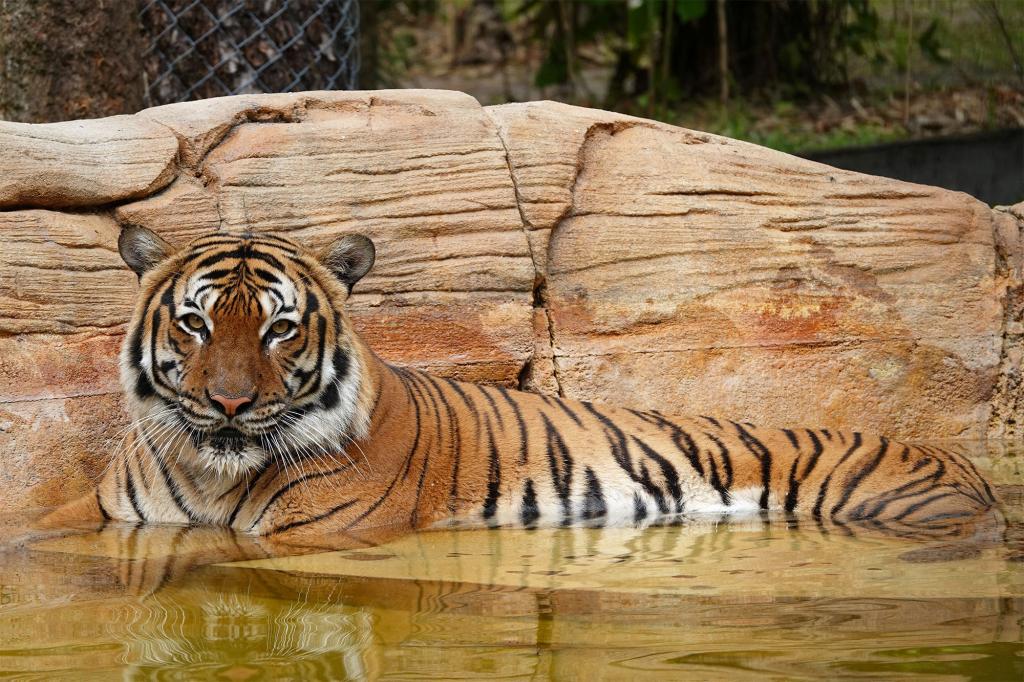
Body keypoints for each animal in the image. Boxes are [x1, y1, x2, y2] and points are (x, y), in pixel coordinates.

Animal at [44, 225, 995, 544]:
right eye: (196, 324)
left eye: (280, 328)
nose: (231, 403)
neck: (214, 471)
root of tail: (972, 470)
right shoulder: (103, 515)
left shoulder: (318, 535)